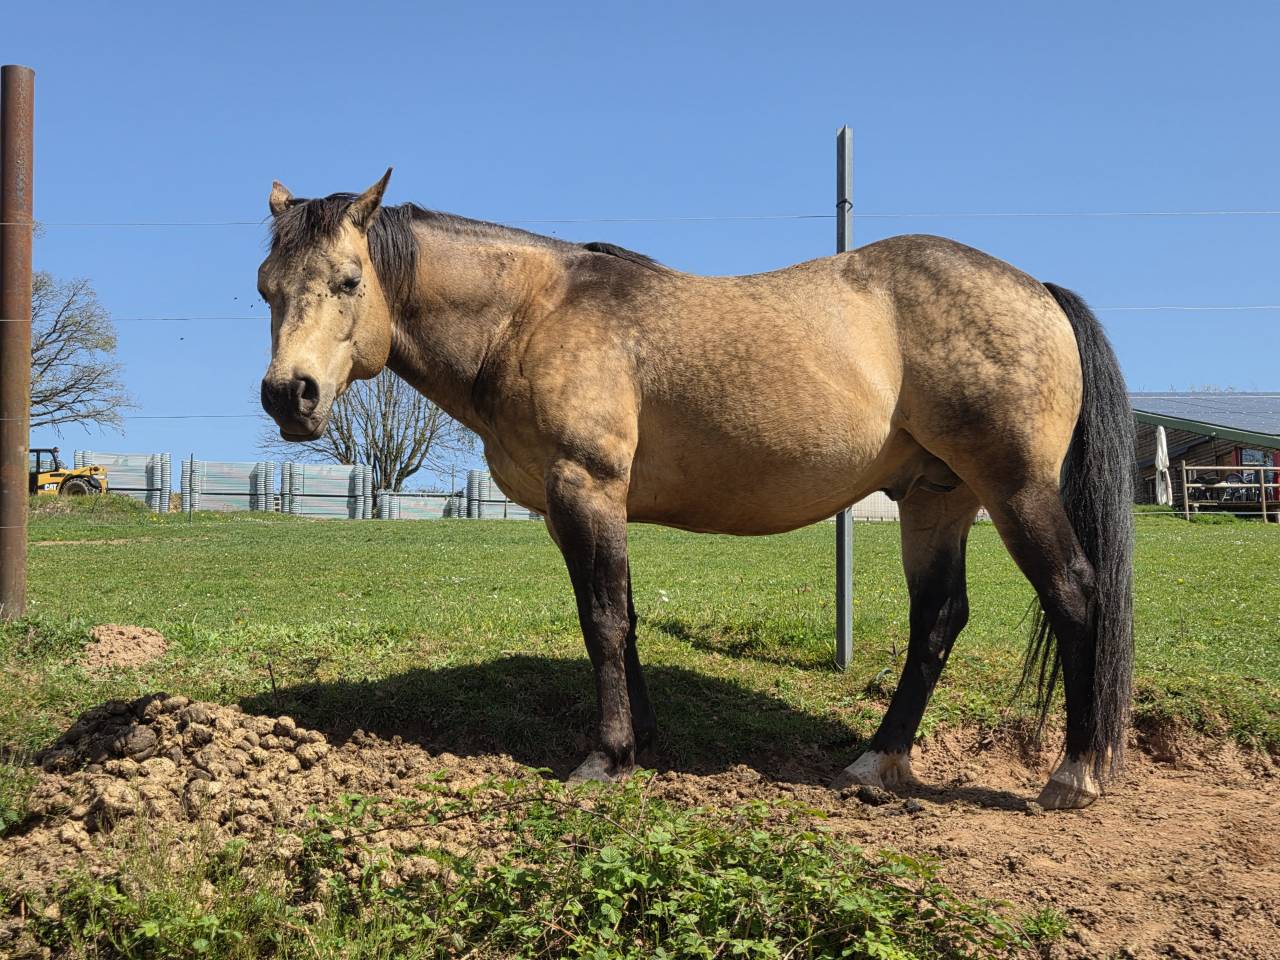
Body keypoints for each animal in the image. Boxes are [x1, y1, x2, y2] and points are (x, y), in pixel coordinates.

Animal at [258, 170, 1134, 810]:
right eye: (267, 285)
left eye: (347, 281)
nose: (288, 395)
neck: (532, 315)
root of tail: (1038, 289)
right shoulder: (577, 510)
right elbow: (623, 619)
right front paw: (641, 740)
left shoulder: (586, 488)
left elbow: (604, 621)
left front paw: (606, 757)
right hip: (935, 497)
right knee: (939, 620)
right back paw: (875, 762)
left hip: (1014, 489)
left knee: (1075, 593)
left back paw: (1072, 775)